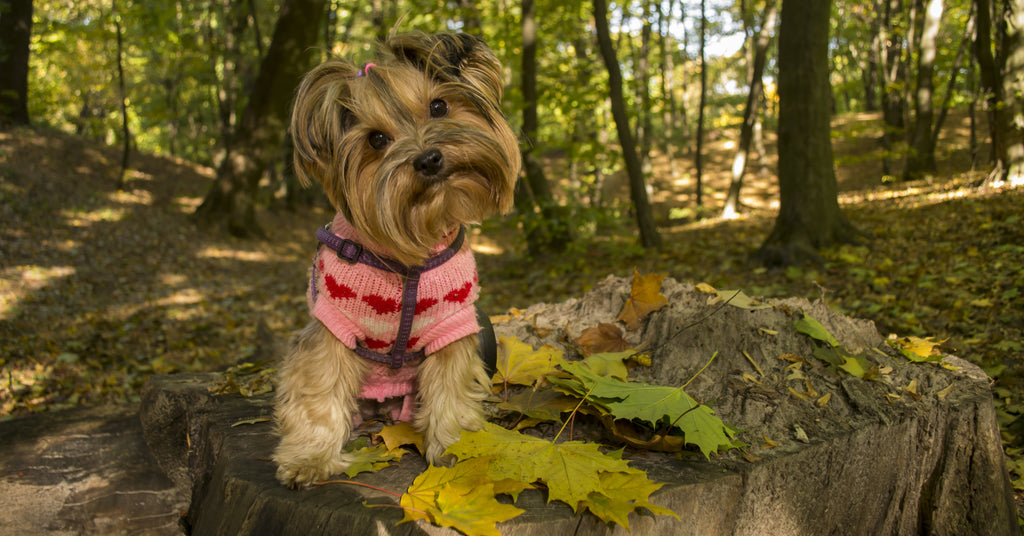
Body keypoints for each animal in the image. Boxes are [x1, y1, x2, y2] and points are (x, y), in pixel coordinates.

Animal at [272, 31, 520, 487]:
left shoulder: (453, 325)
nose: (429, 158)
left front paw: (457, 449)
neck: (410, 254)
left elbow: (451, 386)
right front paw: (310, 458)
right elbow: (318, 387)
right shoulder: (332, 325)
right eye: (376, 140)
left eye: (438, 106)